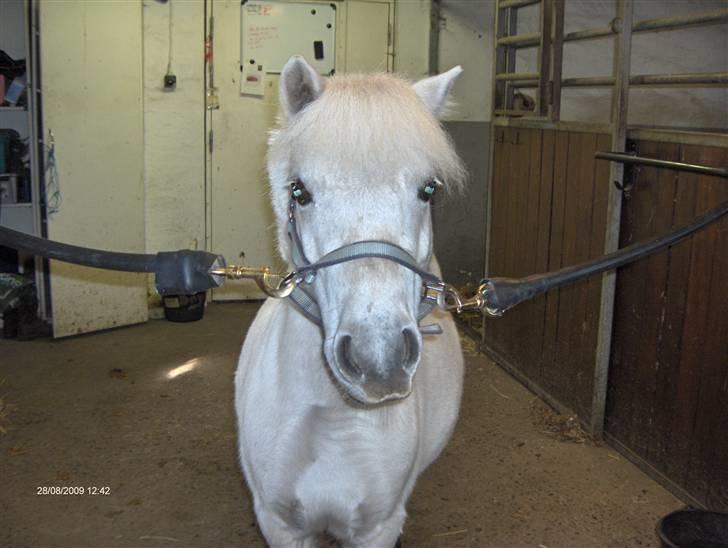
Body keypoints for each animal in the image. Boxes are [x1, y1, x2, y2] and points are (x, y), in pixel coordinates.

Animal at [239, 56, 466, 548]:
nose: (378, 357)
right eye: (299, 192)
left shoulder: (377, 528)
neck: (334, 419)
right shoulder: (279, 524)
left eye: (429, 189)